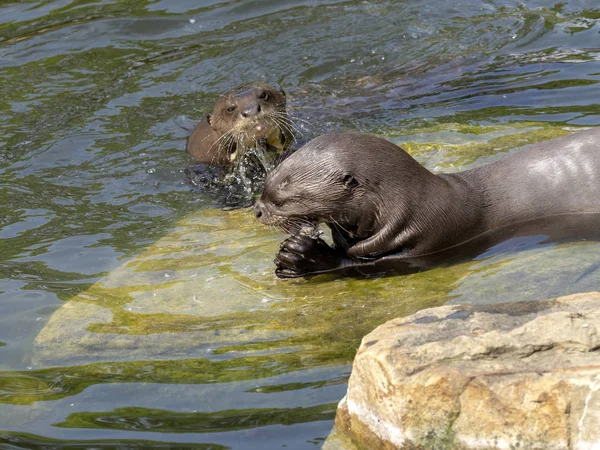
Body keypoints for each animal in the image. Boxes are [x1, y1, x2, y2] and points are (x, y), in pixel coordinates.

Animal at [253, 130, 600, 278]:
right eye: (275, 173)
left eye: (285, 188)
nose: (257, 209)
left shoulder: (428, 240)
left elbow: (364, 265)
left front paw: (303, 256)